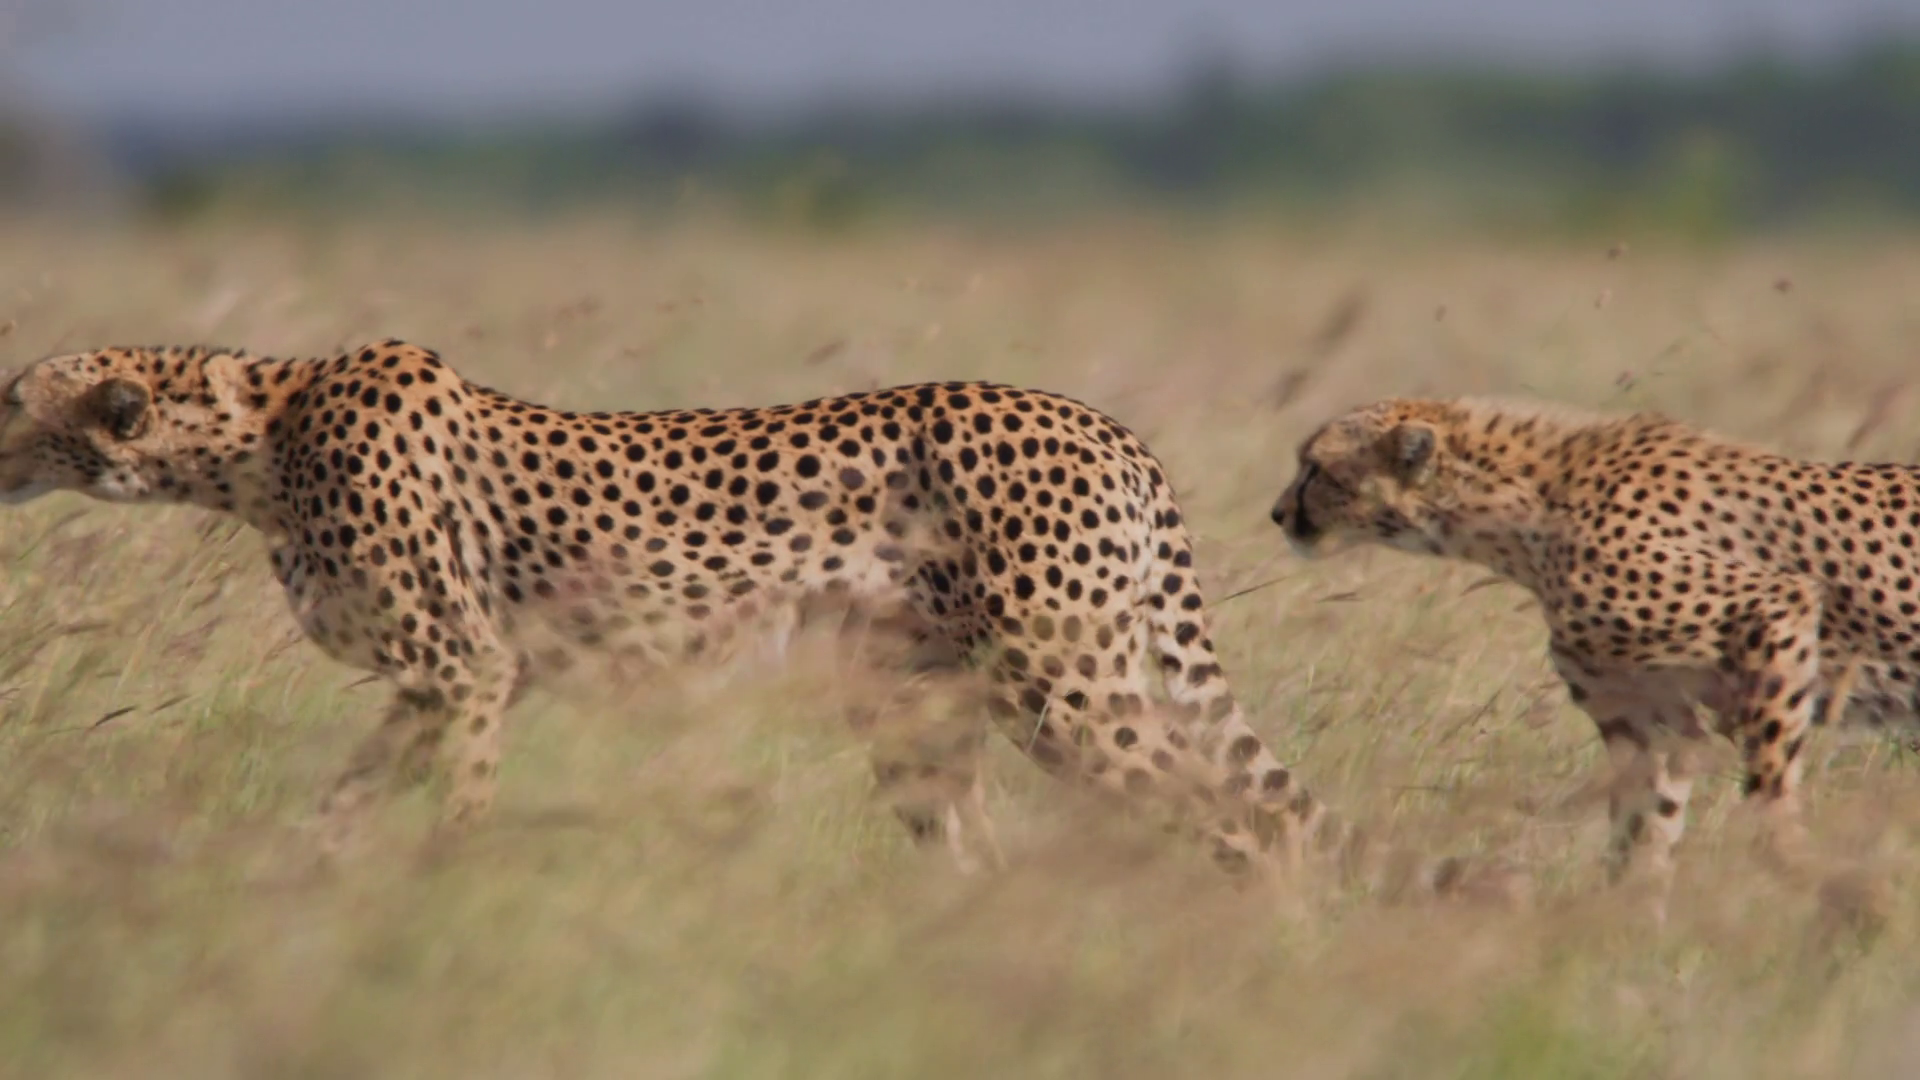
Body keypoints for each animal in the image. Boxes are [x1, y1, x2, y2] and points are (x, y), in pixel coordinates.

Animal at [0, 337, 1500, 899]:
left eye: (16, 397)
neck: (253, 434)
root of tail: (1101, 422)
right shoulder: (441, 682)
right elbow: (349, 794)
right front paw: (307, 875)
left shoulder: (466, 669)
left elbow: (456, 801)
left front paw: (445, 900)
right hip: (920, 701)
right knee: (978, 850)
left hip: (1064, 690)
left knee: (1242, 825)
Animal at [1272, 393, 1920, 914]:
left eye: (1316, 468)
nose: (1278, 514)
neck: (1529, 508)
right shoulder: (1655, 721)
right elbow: (1644, 830)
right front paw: (1619, 935)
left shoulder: (1777, 606)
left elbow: (1769, 790)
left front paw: (1811, 878)